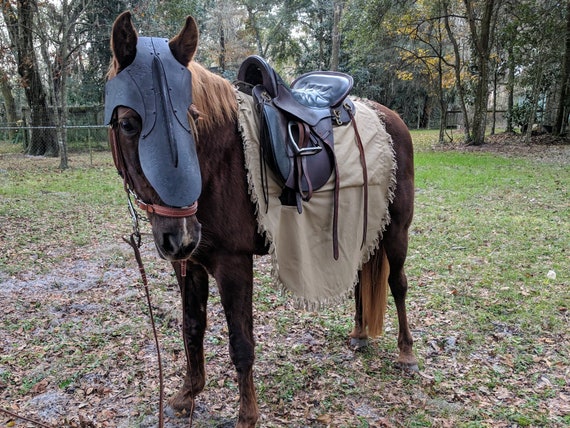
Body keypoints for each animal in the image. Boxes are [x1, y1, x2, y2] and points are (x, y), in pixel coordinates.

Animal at [106, 10, 414, 428]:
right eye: (127, 124)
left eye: (192, 116)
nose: (180, 235)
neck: (218, 161)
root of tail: (389, 116)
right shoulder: (190, 263)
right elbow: (192, 329)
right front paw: (187, 394)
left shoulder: (233, 263)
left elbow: (241, 343)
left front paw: (246, 415)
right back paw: (359, 334)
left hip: (397, 229)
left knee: (398, 284)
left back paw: (406, 353)